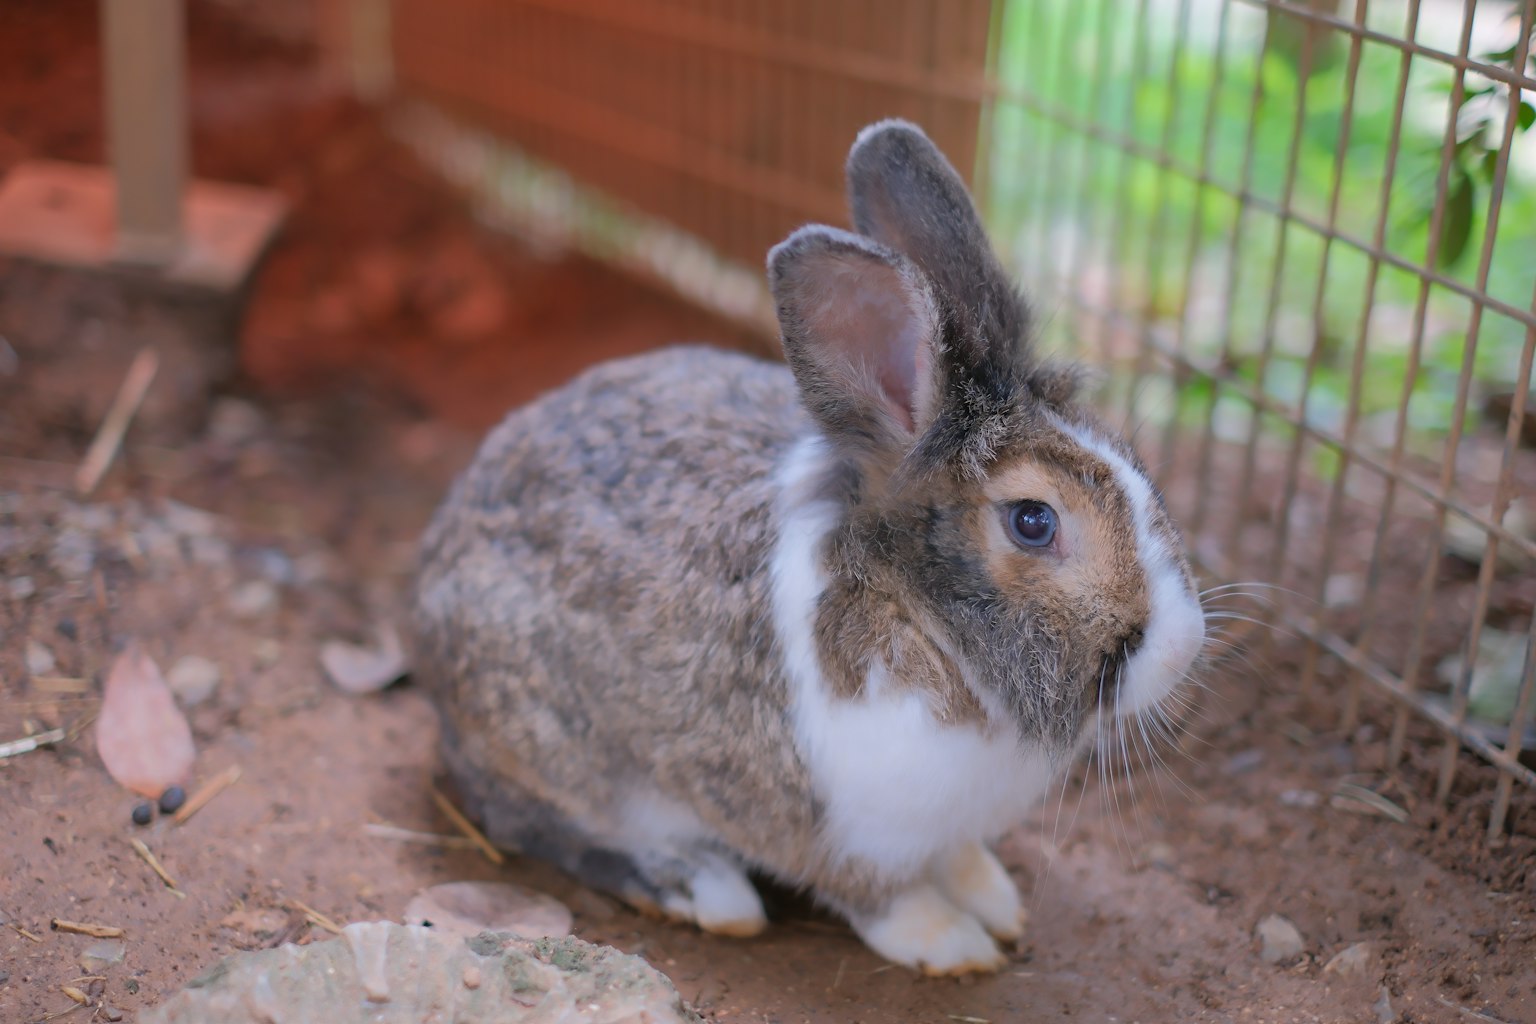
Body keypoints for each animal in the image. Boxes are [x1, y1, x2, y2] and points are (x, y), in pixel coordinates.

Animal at [412, 119, 1206, 976]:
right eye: (1033, 521)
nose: (1185, 646)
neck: (914, 615)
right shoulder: (843, 834)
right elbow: (883, 899)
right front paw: (954, 945)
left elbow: (960, 860)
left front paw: (997, 902)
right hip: (544, 744)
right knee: (530, 820)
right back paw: (699, 888)